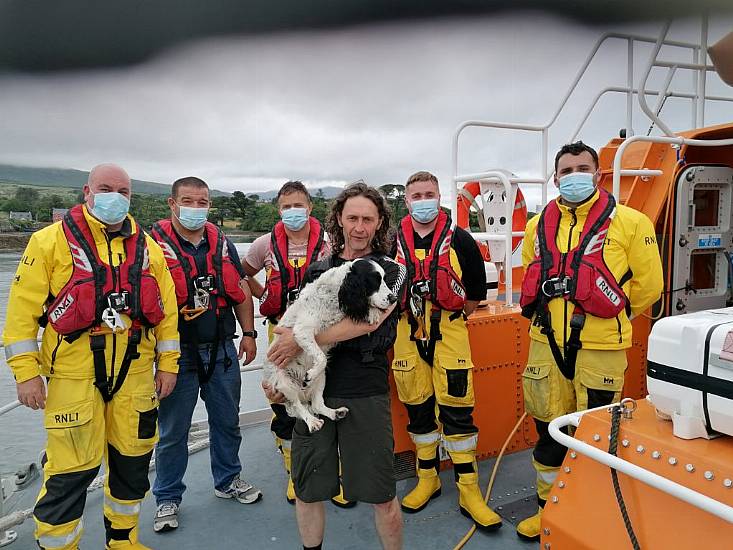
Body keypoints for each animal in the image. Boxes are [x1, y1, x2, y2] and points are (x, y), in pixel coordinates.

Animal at [264, 260, 398, 436]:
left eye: (384, 279)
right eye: (374, 281)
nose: (394, 298)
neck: (334, 292)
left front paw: (372, 312)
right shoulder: (302, 331)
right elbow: (321, 358)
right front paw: (310, 374)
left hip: (322, 379)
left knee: (316, 404)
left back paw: (336, 413)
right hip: (285, 383)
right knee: (297, 406)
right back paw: (312, 421)